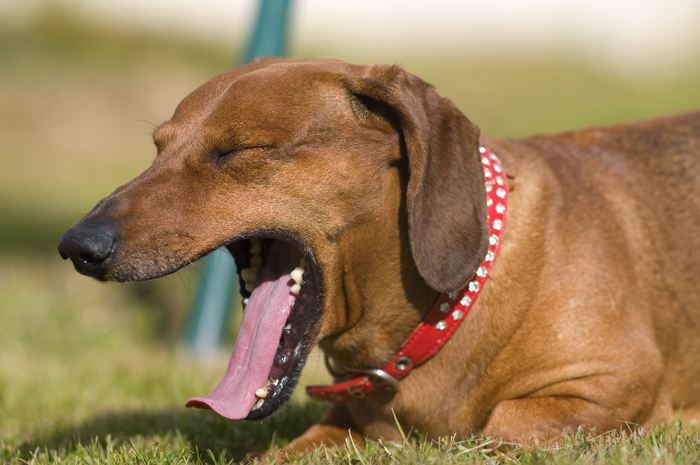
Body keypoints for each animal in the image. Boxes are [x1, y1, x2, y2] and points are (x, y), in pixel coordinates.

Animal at [57, 56, 700, 452]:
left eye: (237, 151)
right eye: (158, 149)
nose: (76, 247)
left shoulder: (615, 383)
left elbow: (504, 423)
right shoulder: (340, 427)